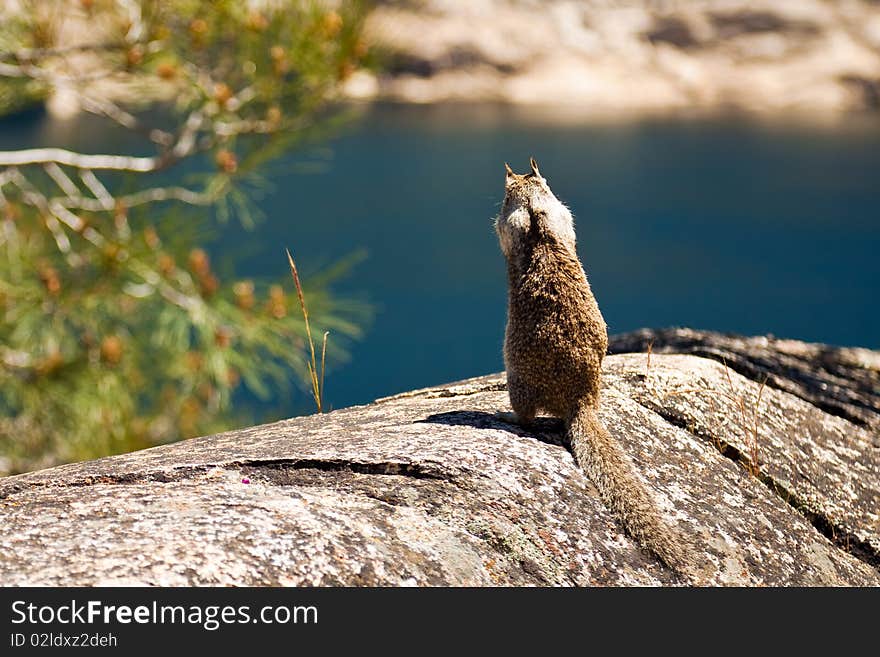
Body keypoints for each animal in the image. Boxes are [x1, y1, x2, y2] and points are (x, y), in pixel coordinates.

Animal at [496, 159, 696, 580]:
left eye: (505, 194)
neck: (535, 205)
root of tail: (581, 403)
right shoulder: (561, 215)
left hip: (516, 380)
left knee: (525, 417)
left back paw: (507, 415)